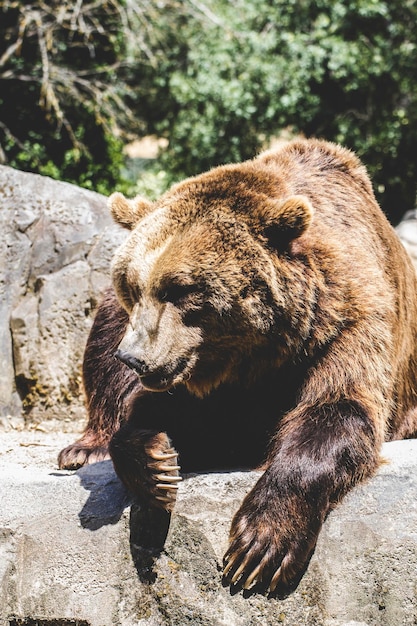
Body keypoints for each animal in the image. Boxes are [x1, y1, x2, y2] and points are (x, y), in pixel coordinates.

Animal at [58, 139, 416, 596]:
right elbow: (163, 418)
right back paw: (85, 448)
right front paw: (157, 464)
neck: (258, 354)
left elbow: (337, 410)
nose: (135, 358)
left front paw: (260, 544)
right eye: (134, 286)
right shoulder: (200, 375)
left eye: (179, 288)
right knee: (102, 346)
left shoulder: (344, 323)